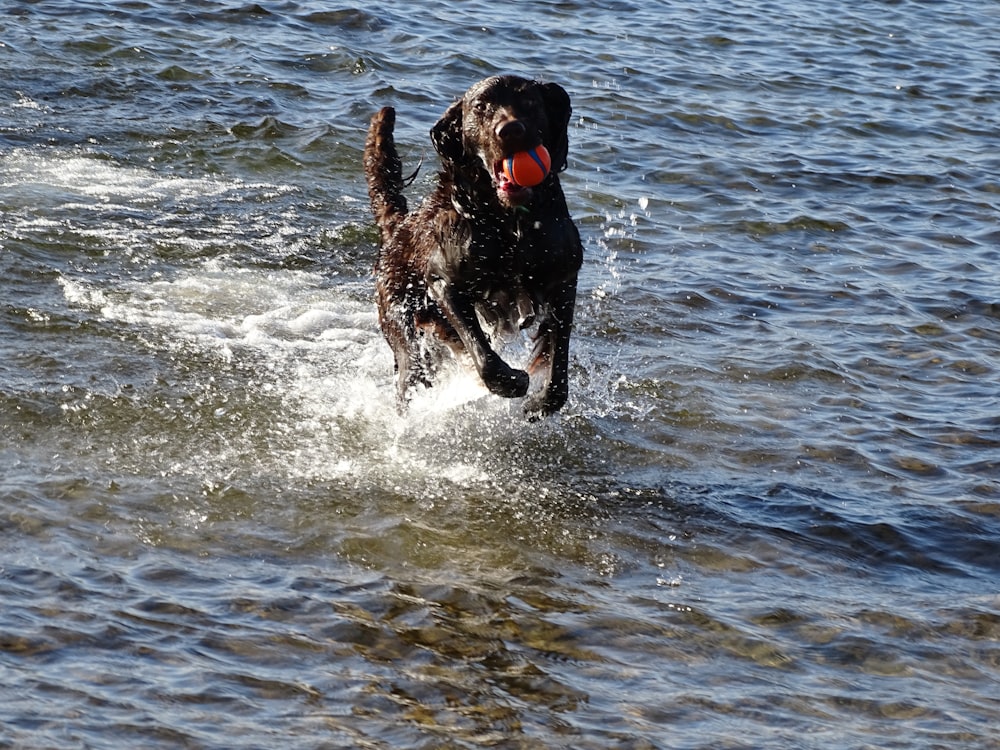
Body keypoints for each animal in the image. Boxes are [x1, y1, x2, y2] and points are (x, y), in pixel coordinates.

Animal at [364, 74, 584, 420]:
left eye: (529, 101)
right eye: (481, 107)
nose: (510, 130)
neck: (510, 224)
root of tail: (399, 225)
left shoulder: (564, 277)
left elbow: (559, 357)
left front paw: (541, 402)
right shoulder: (444, 283)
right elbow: (482, 352)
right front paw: (512, 381)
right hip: (399, 313)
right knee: (410, 370)